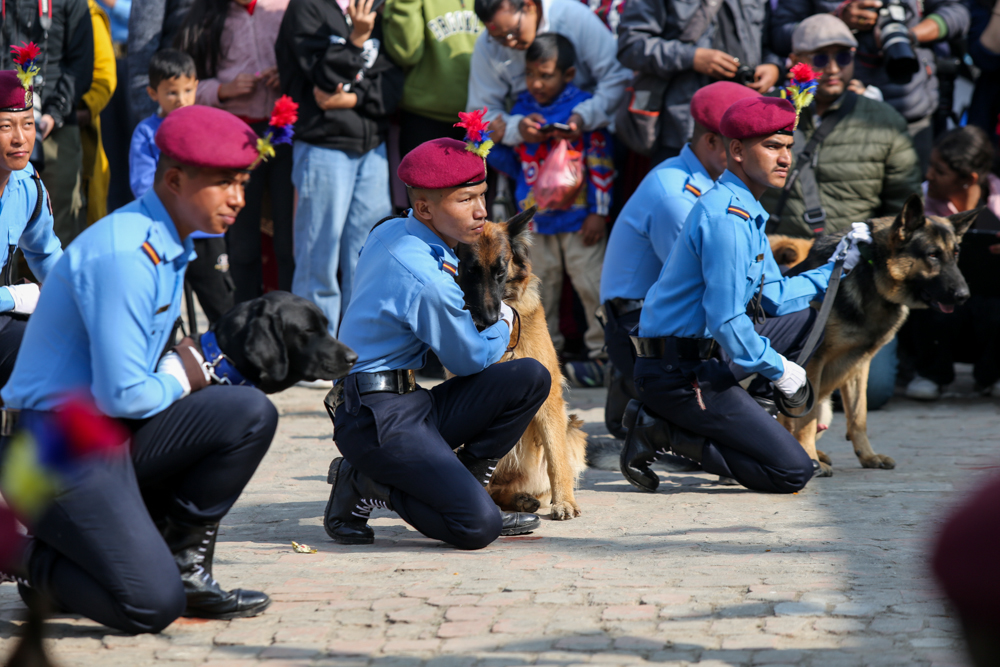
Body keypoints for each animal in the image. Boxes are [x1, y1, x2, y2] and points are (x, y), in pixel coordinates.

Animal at [458, 209, 588, 520]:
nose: (490, 320)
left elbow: (556, 459)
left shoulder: (550, 398)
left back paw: (524, 499)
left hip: (574, 431)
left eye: (500, 272)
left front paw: (564, 502)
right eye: (470, 272)